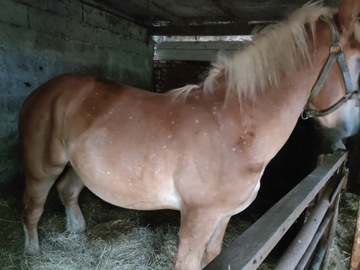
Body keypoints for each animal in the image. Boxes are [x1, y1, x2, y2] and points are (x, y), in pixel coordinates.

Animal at [19, 1, 360, 268]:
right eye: (358, 62)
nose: (350, 129)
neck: (237, 127)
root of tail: (43, 90)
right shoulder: (198, 217)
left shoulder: (223, 216)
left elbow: (214, 254)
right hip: (41, 168)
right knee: (32, 208)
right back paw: (31, 252)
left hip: (80, 167)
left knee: (68, 190)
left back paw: (76, 230)